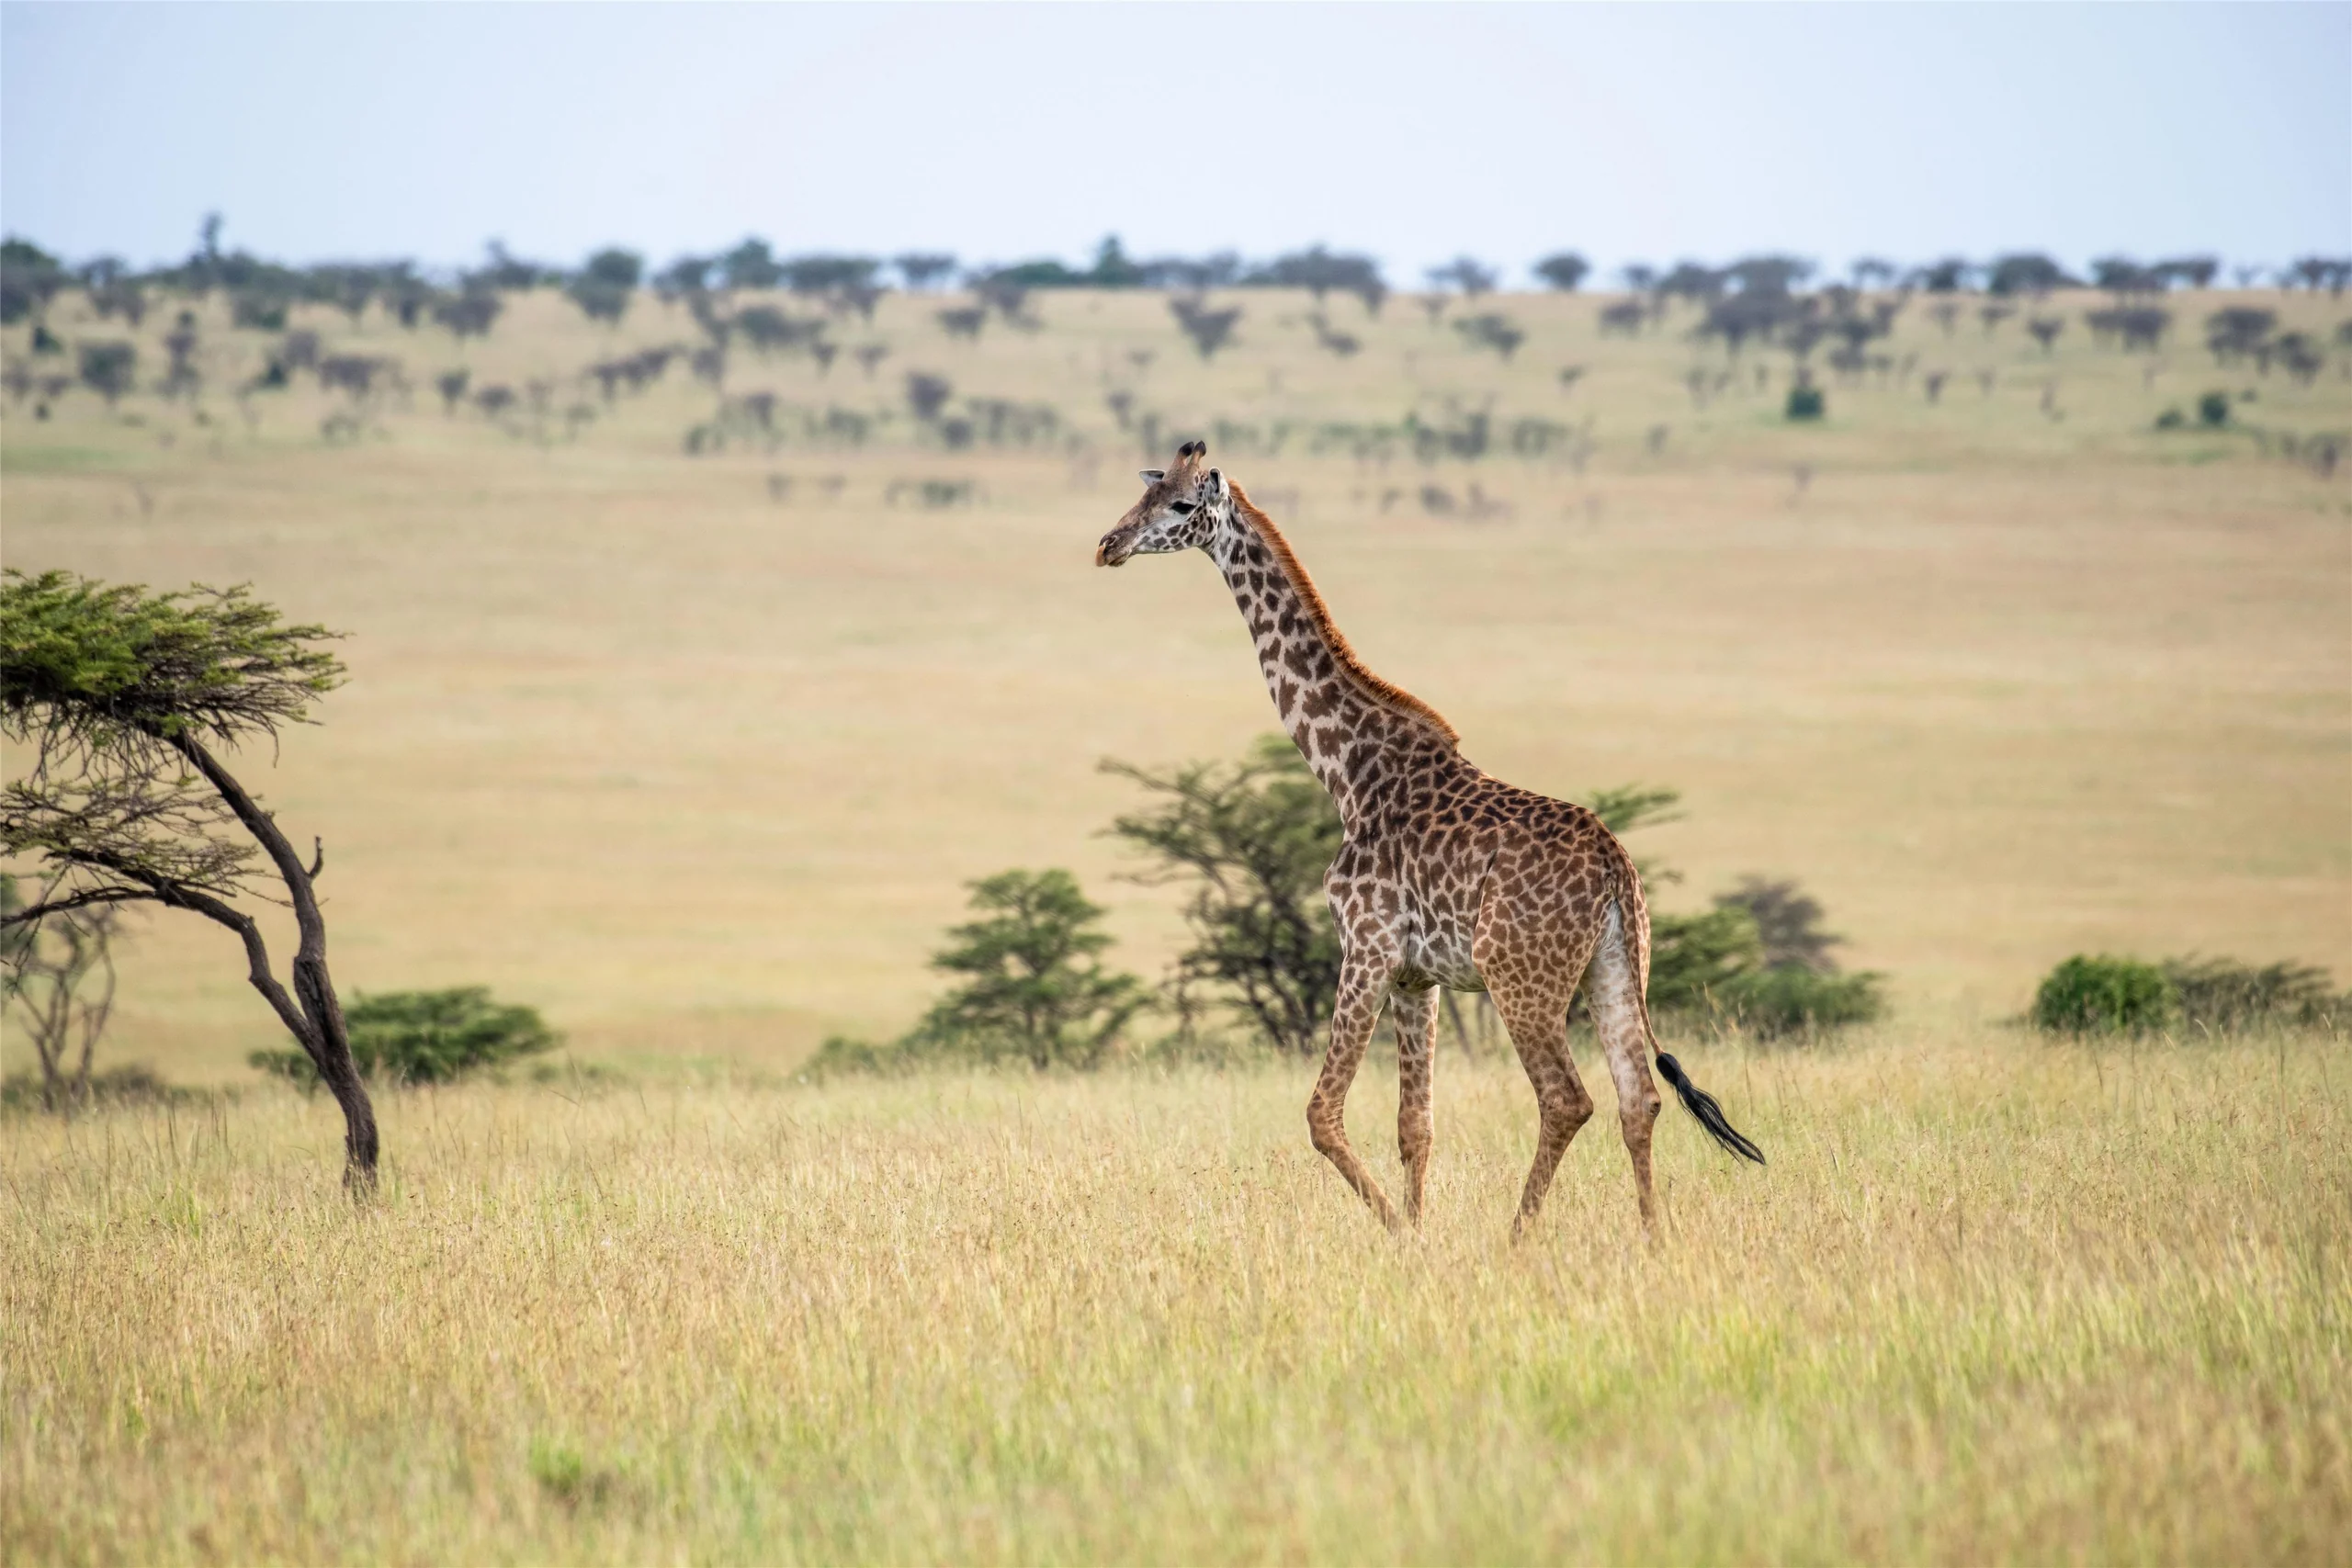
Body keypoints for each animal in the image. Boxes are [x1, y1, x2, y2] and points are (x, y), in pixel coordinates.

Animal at [1096, 441, 1763, 1234]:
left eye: (1179, 504)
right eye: (1147, 491)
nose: (1108, 545)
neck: (1346, 770)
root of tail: (1614, 864)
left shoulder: (1368, 945)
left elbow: (1323, 1113)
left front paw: (1400, 1233)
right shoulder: (1421, 974)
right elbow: (1415, 1124)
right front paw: (1418, 1229)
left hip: (1519, 975)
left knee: (1568, 1098)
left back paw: (1516, 1237)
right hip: (1614, 966)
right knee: (1641, 1094)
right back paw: (1653, 1238)